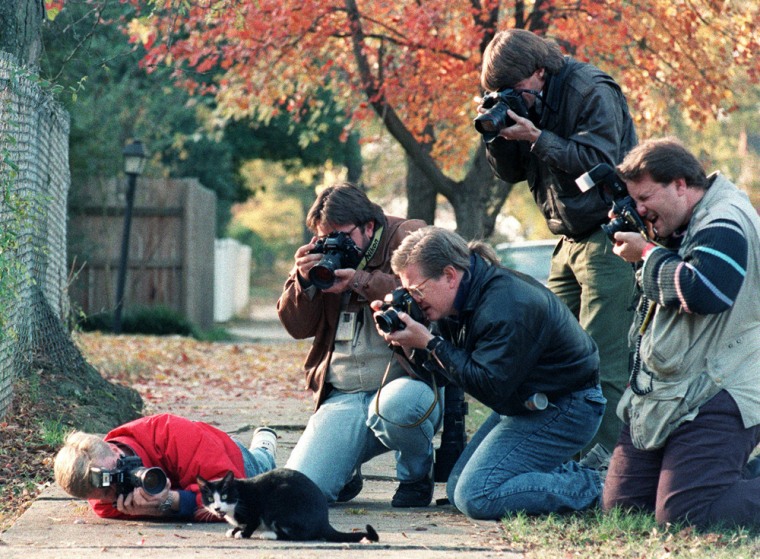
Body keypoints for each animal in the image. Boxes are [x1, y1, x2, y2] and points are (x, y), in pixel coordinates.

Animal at [197, 468, 378, 544]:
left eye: (224, 496)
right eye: (210, 498)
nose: (217, 508)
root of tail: (324, 522)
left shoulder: (254, 508)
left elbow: (252, 522)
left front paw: (242, 533)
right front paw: (234, 530)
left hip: (278, 502)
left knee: (299, 535)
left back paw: (269, 534)